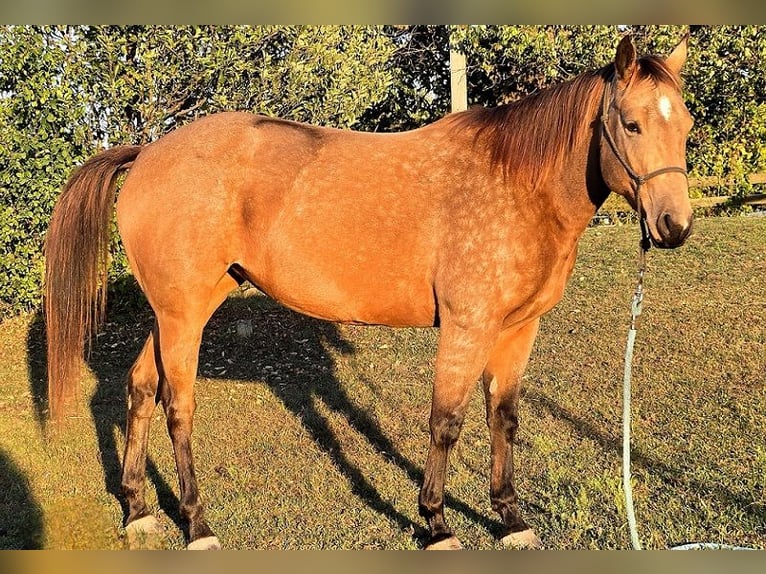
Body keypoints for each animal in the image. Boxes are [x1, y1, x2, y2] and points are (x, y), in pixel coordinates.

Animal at [44, 34, 693, 550]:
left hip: (180, 309)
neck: (516, 183)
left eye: (685, 126)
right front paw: (436, 523)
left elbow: (502, 417)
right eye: (631, 124)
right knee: (178, 405)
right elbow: (446, 421)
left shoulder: (517, 328)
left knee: (140, 389)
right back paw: (198, 525)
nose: (674, 226)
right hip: (183, 315)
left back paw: (137, 508)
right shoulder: (467, 326)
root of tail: (148, 152)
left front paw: (509, 519)